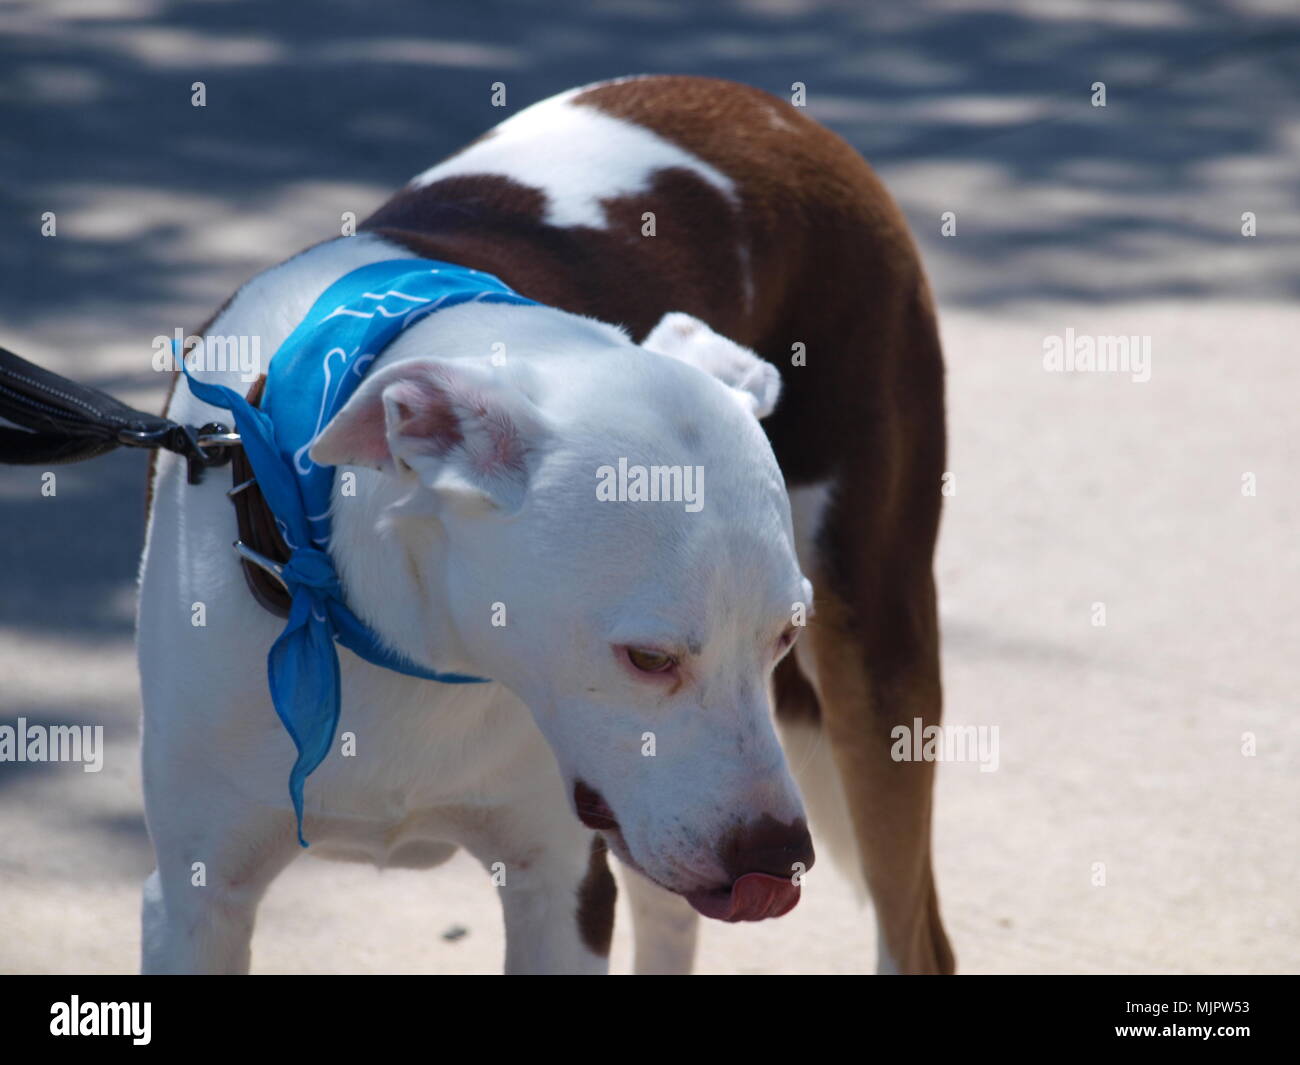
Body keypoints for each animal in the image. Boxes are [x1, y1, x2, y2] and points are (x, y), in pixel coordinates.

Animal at [139, 75, 956, 972]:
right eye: (647, 658)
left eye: (782, 634)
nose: (777, 859)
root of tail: (762, 105)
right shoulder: (194, 896)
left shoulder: (562, 886)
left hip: (872, 661)